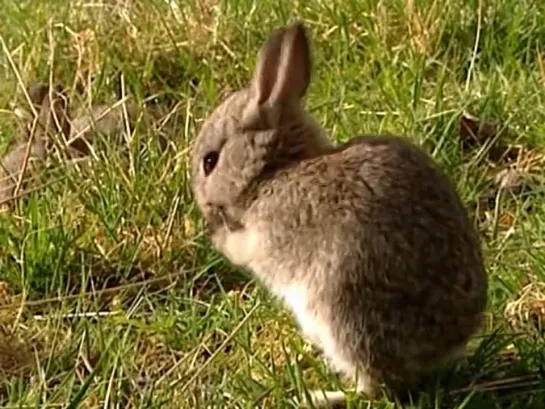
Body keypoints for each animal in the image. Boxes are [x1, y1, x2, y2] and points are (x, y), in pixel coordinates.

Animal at [189, 23, 486, 408]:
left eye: (210, 161)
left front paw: (220, 237)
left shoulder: (265, 235)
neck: (274, 171)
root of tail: (444, 346)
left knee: (377, 386)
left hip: (346, 314)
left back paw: (318, 396)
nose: (205, 208)